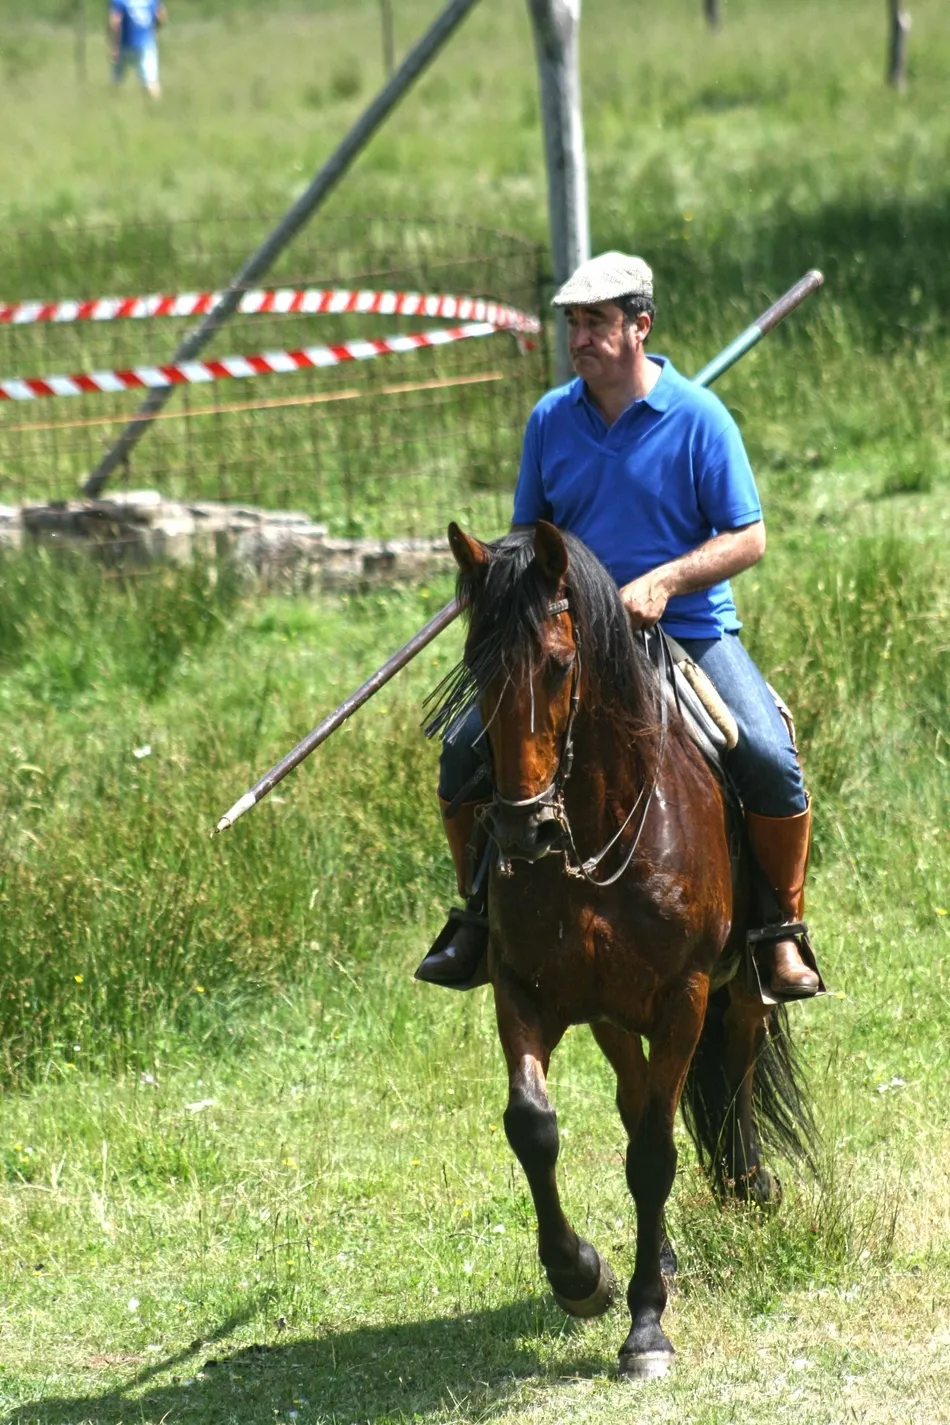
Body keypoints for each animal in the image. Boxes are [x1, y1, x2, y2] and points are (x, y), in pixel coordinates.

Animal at [424, 519, 816, 1382]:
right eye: (474, 665)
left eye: (559, 663)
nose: (522, 830)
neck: (598, 829)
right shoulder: (524, 988)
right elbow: (534, 1125)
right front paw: (582, 1275)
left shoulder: (685, 996)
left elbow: (654, 1154)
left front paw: (645, 1326)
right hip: (609, 1011)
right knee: (636, 1099)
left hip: (738, 987)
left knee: (737, 1064)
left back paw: (748, 1182)